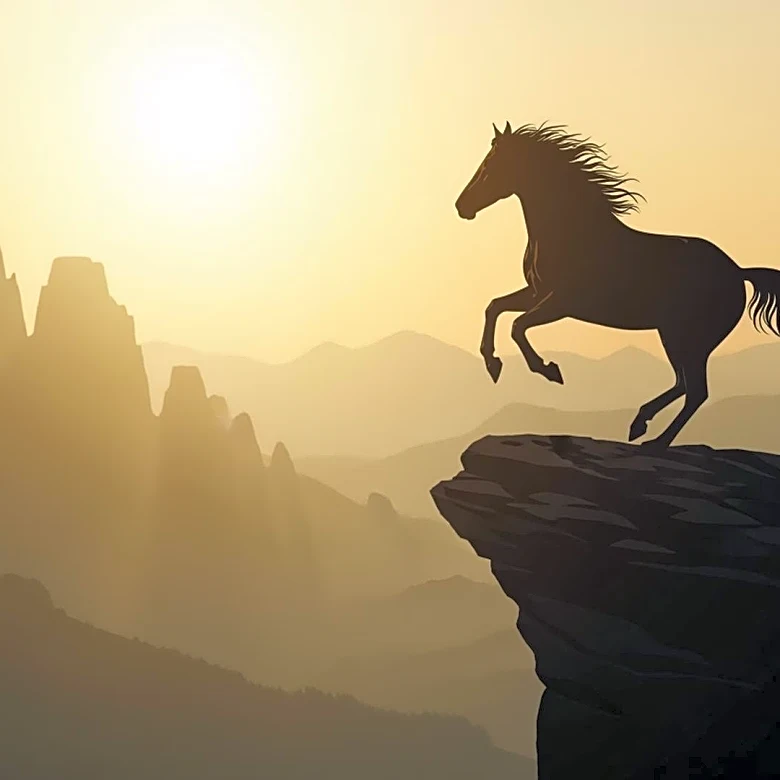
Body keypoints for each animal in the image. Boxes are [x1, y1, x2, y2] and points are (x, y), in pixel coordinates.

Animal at [455, 121, 780, 449]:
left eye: (489, 166)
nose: (461, 206)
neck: (567, 230)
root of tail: (738, 272)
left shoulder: (562, 302)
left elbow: (517, 326)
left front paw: (549, 370)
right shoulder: (538, 293)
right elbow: (495, 307)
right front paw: (493, 364)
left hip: (689, 338)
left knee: (696, 390)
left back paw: (656, 441)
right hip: (673, 336)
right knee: (683, 384)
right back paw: (640, 424)